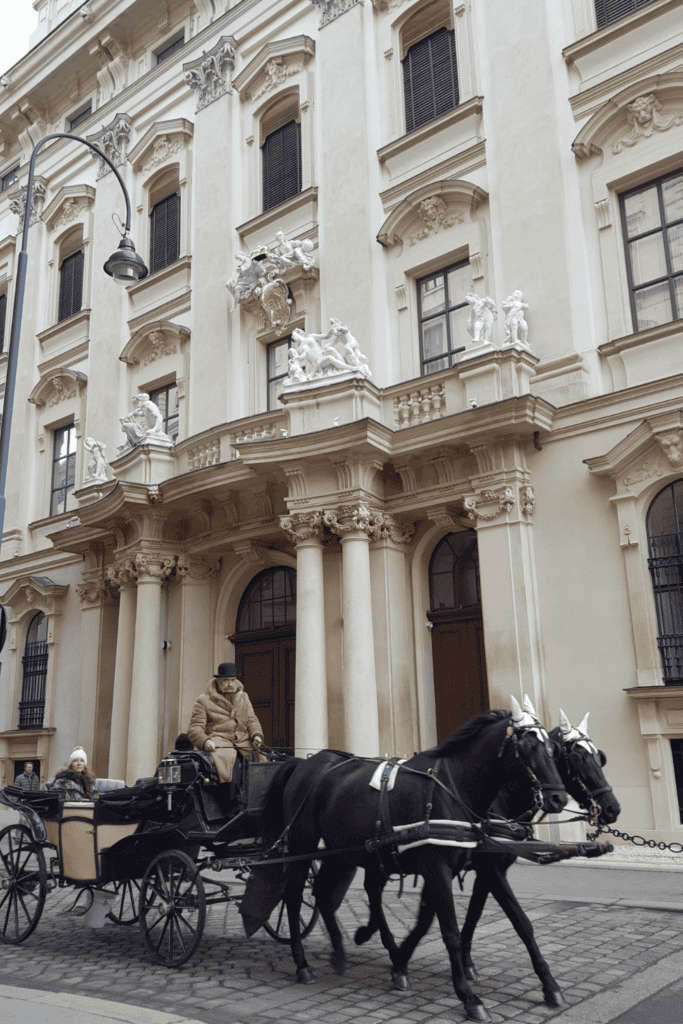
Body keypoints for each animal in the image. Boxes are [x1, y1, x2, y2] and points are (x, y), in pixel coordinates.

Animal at [270, 708, 565, 1019]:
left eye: (552, 749)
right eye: (527, 748)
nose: (559, 797)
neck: (454, 790)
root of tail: (306, 761)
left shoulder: (485, 869)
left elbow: (521, 923)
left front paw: (550, 985)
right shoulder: (440, 869)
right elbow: (450, 932)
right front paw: (469, 996)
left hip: (341, 851)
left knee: (326, 894)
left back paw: (341, 953)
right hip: (303, 843)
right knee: (295, 896)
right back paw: (303, 964)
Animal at [350, 708, 622, 1003]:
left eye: (599, 757)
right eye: (576, 758)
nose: (612, 808)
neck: (499, 802)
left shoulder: (484, 869)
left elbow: (469, 914)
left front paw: (463, 963)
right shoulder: (472, 867)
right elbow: (437, 918)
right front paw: (403, 962)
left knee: (372, 888)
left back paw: (371, 933)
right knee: (372, 889)